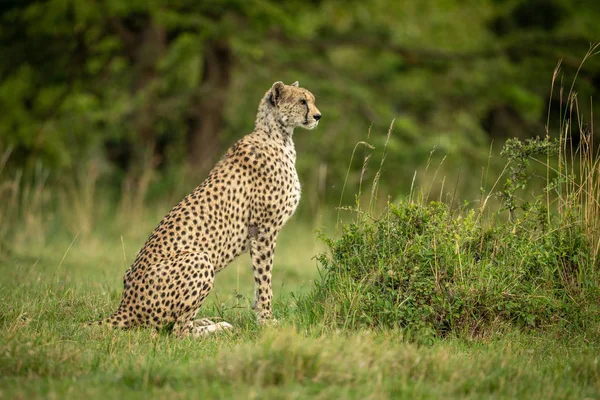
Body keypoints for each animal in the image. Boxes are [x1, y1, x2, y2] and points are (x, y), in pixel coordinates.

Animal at [101, 81, 322, 338]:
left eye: (312, 100)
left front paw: (261, 316)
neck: (278, 136)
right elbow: (264, 279)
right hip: (201, 259)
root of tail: (124, 305)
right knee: (177, 332)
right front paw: (267, 321)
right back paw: (217, 329)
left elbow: (259, 282)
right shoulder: (264, 230)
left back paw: (207, 322)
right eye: (302, 101)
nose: (318, 116)